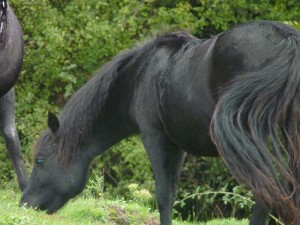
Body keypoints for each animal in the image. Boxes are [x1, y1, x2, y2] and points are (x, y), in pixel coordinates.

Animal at [20, 20, 300, 224]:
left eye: (40, 161)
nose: (24, 204)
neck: (139, 76)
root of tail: (288, 39)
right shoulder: (177, 147)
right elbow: (172, 194)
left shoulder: (156, 138)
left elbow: (164, 196)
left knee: (265, 193)